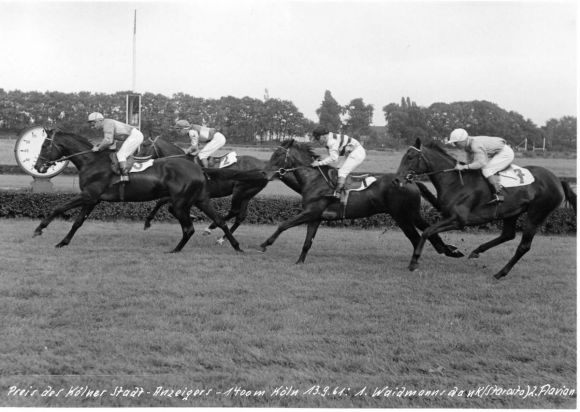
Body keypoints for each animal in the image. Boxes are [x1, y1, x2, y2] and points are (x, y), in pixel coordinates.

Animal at [32, 129, 248, 253]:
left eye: (45, 145)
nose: (37, 166)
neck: (91, 162)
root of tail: (198, 168)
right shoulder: (93, 199)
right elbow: (78, 222)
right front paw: (62, 242)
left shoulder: (88, 195)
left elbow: (58, 208)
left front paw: (39, 229)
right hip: (201, 199)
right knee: (220, 221)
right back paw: (235, 246)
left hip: (181, 203)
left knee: (189, 228)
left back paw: (176, 249)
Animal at [258, 139, 462, 264]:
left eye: (277, 155)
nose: (264, 173)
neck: (313, 180)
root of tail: (409, 181)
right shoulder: (315, 217)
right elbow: (308, 241)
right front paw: (299, 261)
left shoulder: (310, 212)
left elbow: (283, 225)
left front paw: (264, 244)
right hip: (409, 214)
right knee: (424, 231)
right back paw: (449, 250)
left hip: (403, 215)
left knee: (418, 236)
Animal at [394, 139, 576, 280]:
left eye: (410, 157)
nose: (396, 180)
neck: (455, 181)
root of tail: (558, 181)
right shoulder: (446, 213)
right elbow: (430, 229)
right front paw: (451, 250)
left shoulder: (458, 220)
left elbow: (427, 231)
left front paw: (414, 262)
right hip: (512, 212)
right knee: (508, 234)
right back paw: (477, 251)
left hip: (536, 214)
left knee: (523, 246)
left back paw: (500, 273)